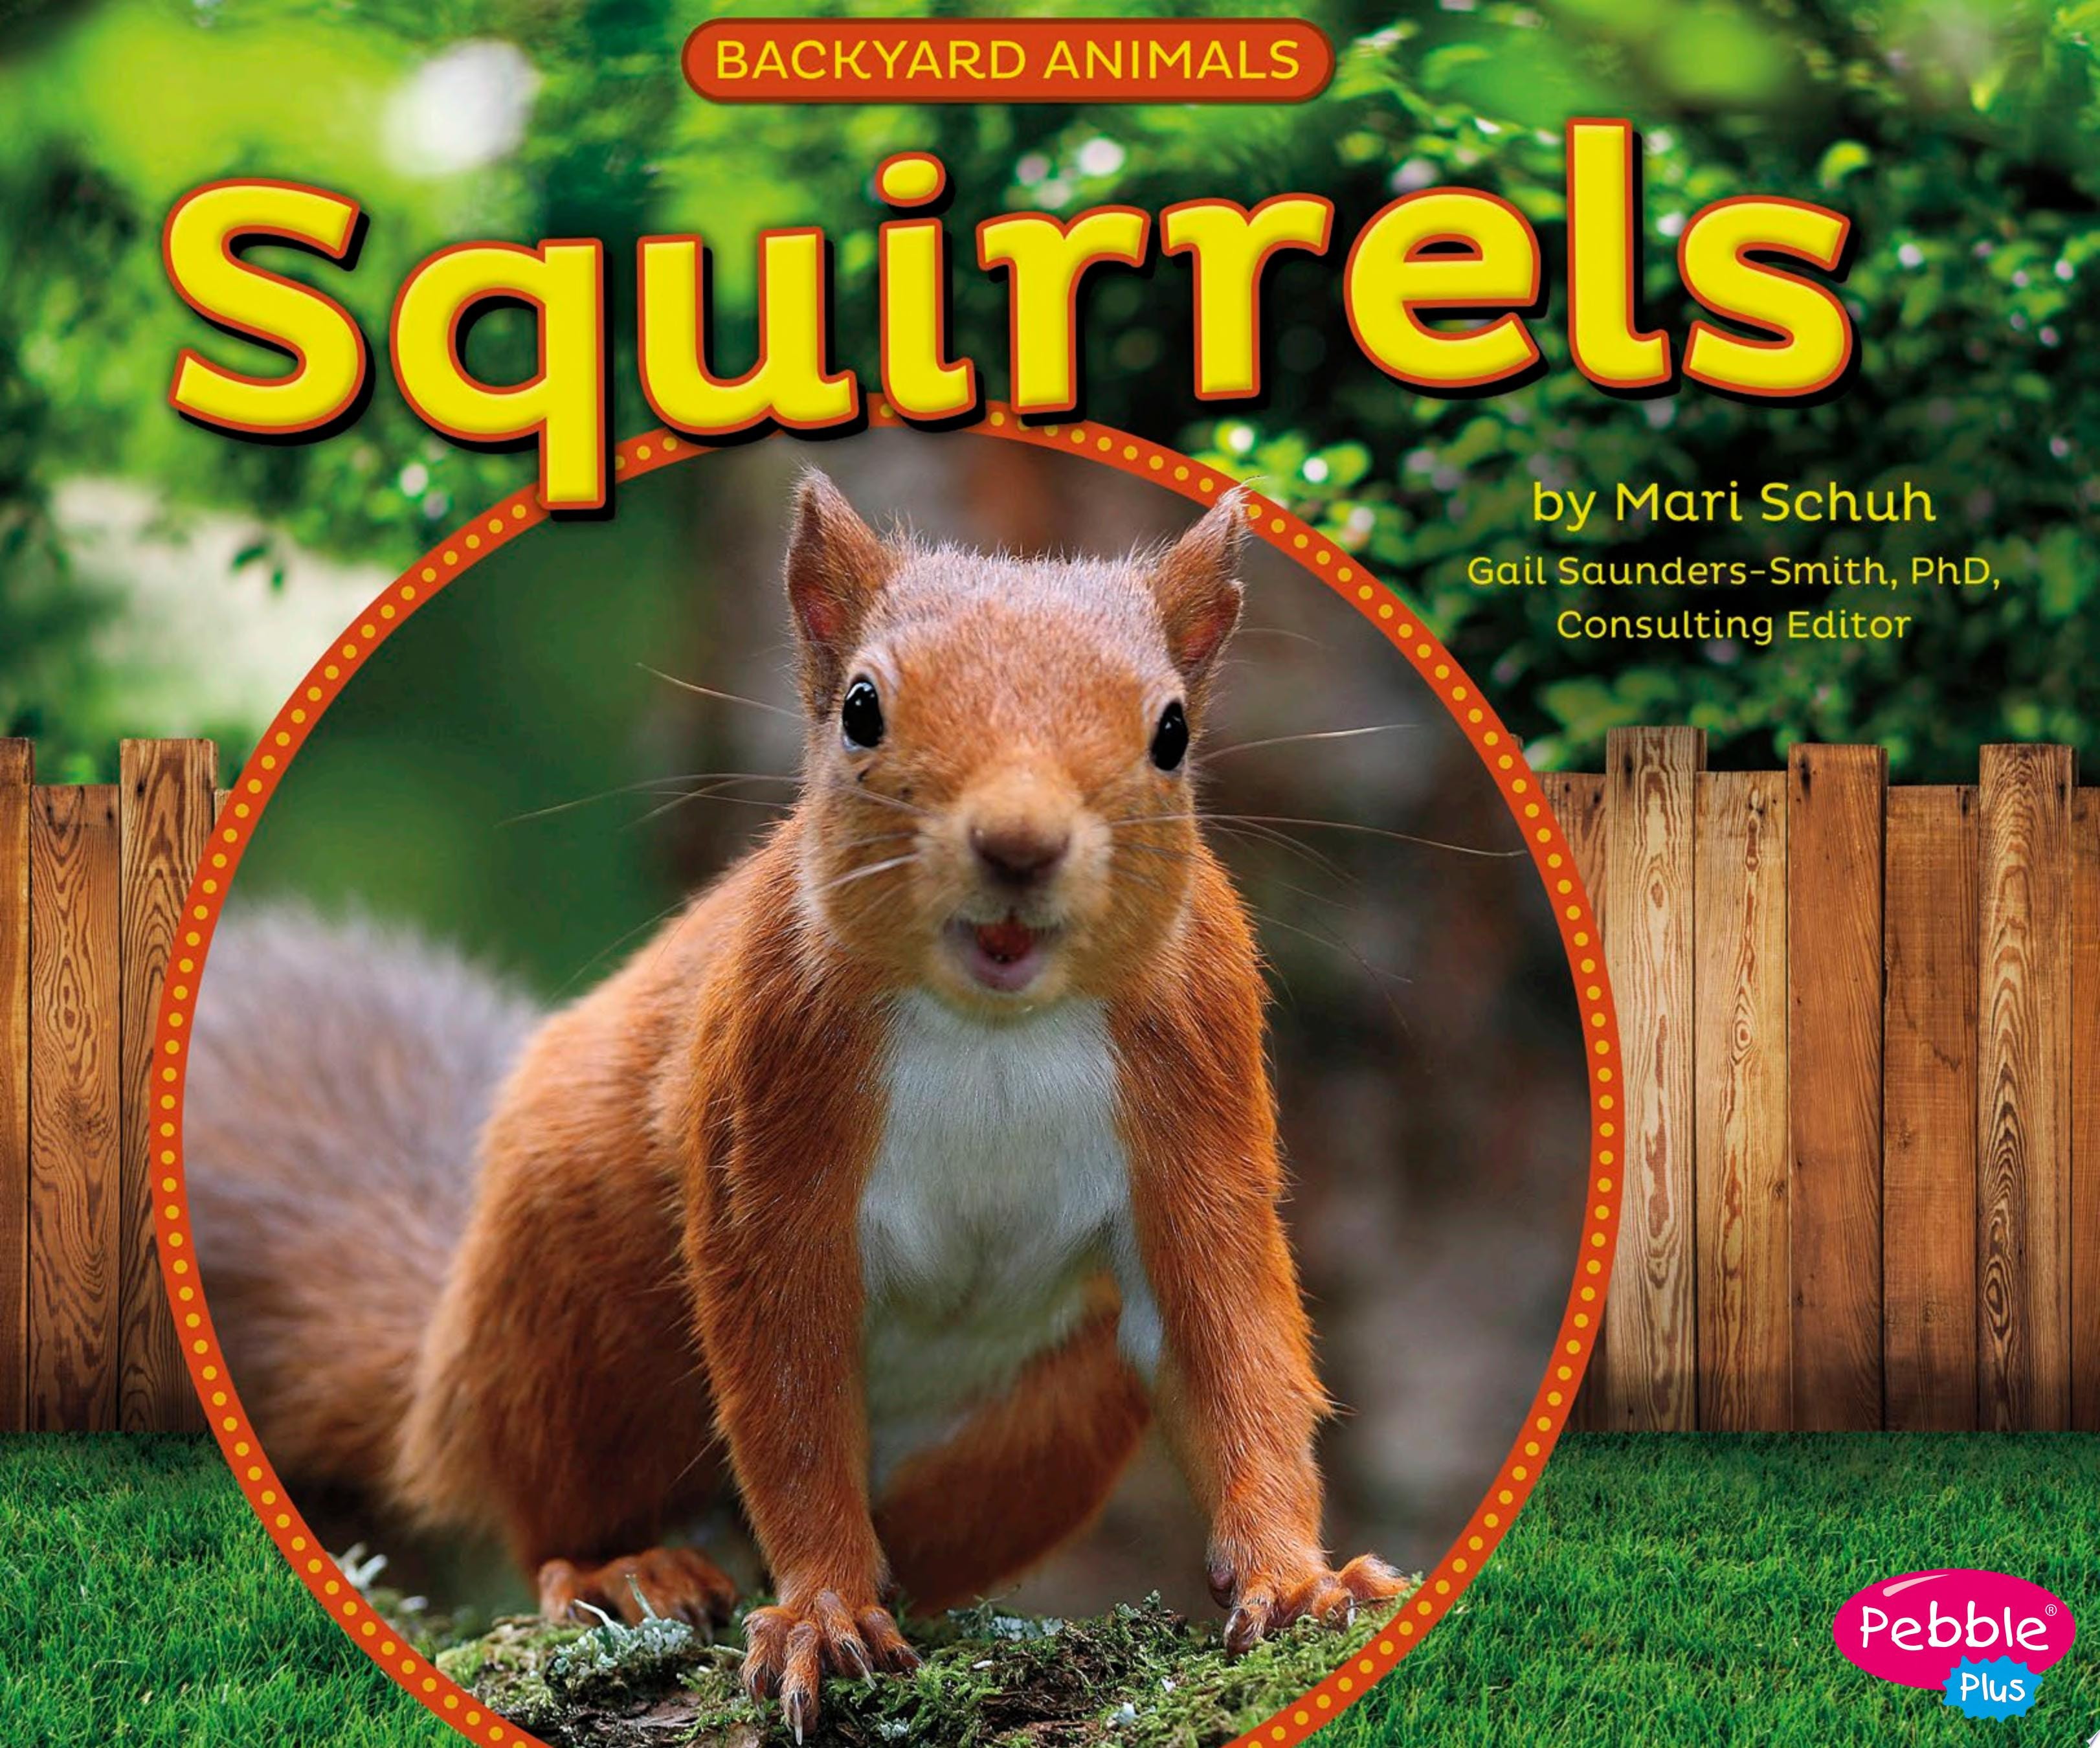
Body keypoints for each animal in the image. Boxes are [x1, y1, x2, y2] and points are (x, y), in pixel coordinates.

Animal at [187, 471, 1403, 1737]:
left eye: (1170, 731)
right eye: (862, 708)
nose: (1018, 846)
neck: (995, 1025)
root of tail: (442, 1380)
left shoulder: (1200, 1088)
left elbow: (1234, 1346)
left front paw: (1297, 1581)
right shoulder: (767, 1104)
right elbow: (788, 1396)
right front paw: (821, 1612)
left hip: (1049, 1420)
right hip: (568, 1313)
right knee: (550, 1516)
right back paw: (628, 1568)